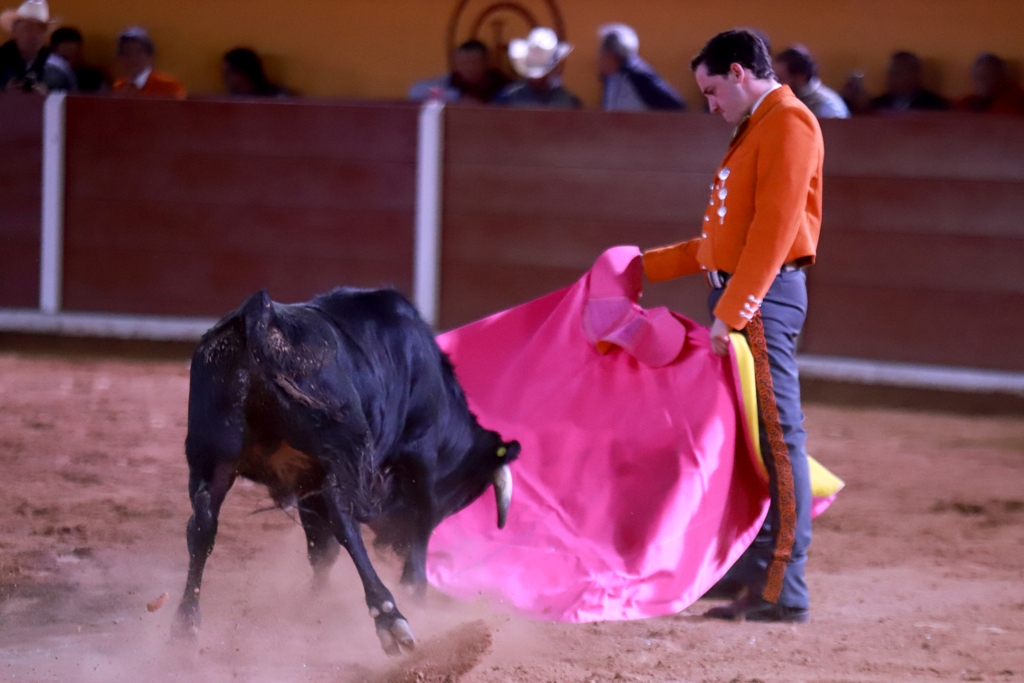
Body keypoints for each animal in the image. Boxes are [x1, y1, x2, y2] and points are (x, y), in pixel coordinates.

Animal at [173, 286, 520, 651]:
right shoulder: (419, 457)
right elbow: (418, 528)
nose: (392, 543)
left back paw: (185, 626)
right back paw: (390, 617)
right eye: (460, 496)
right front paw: (414, 592)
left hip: (211, 461)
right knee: (346, 526)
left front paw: (316, 606)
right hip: (335, 459)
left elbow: (321, 550)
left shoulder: (304, 483)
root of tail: (260, 314)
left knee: (202, 528)